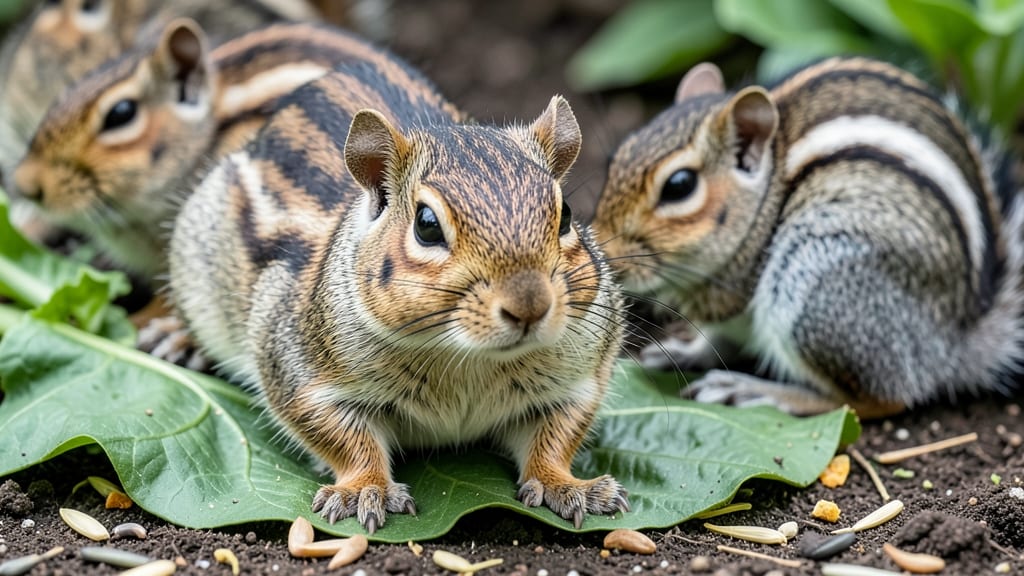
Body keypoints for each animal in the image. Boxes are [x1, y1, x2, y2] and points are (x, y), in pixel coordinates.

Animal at [165, 53, 628, 532]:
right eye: (426, 225)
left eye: (566, 215)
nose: (529, 307)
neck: (468, 359)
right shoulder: (302, 376)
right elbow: (344, 438)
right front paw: (364, 488)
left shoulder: (583, 376)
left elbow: (558, 436)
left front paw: (567, 485)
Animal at [592, 57, 1024, 418]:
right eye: (618, 155)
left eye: (679, 186)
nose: (605, 252)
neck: (769, 187)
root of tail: (953, 345)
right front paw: (683, 349)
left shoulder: (737, 275)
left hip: (817, 286)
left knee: (877, 401)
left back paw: (760, 391)